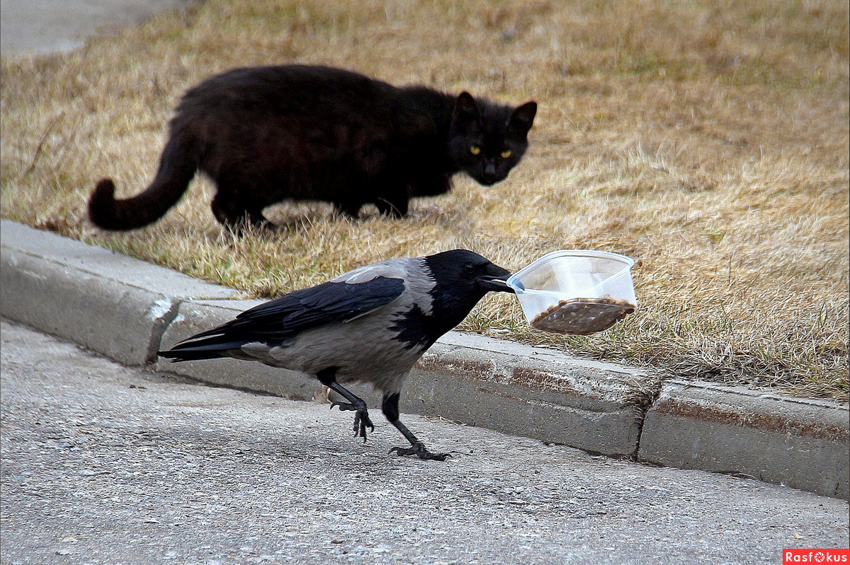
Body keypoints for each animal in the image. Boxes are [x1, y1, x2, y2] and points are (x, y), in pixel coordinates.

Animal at [88, 63, 536, 227]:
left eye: (506, 152)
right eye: (476, 148)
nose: (491, 171)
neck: (440, 131)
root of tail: (187, 112)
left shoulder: (353, 181)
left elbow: (349, 201)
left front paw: (350, 221)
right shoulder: (384, 170)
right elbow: (395, 199)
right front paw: (391, 221)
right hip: (264, 173)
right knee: (223, 204)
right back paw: (260, 230)